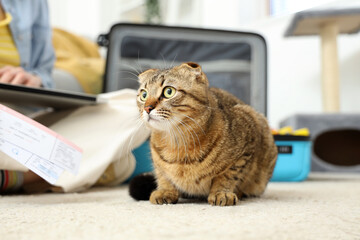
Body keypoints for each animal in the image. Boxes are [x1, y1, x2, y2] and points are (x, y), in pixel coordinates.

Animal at [136, 62, 278, 206]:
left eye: (168, 91)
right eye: (144, 95)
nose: (147, 108)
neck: (176, 143)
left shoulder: (247, 140)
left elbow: (228, 175)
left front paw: (221, 192)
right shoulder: (158, 164)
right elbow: (163, 176)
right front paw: (166, 191)